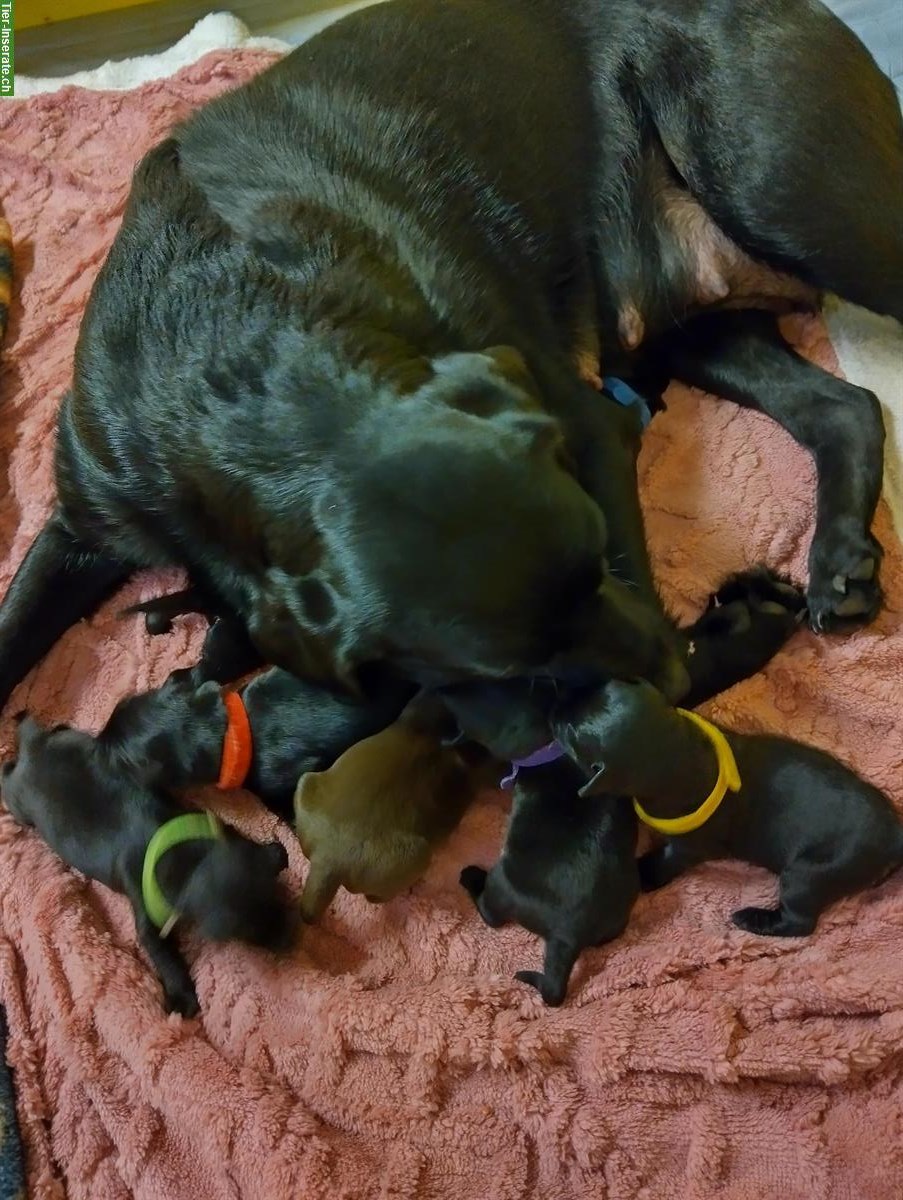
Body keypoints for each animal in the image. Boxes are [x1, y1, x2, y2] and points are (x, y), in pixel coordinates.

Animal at [0, 0, 898, 739]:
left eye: (595, 555)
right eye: (505, 663)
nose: (671, 673)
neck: (241, 366)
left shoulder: (589, 428)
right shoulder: (85, 520)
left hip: (783, 192)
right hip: (686, 323)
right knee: (846, 405)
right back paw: (838, 560)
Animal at [0, 705, 292, 1017]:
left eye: (274, 894)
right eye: (250, 932)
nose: (292, 937)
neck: (188, 859)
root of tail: (34, 747)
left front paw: (272, 853)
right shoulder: (147, 918)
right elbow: (166, 957)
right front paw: (182, 996)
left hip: (71, 742)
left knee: (57, 733)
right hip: (18, 802)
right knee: (8, 776)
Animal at [557, 681, 903, 940]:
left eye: (572, 735)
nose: (555, 711)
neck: (682, 752)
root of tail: (894, 837)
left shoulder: (691, 846)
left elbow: (667, 861)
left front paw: (643, 874)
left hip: (808, 875)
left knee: (800, 922)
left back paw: (751, 919)